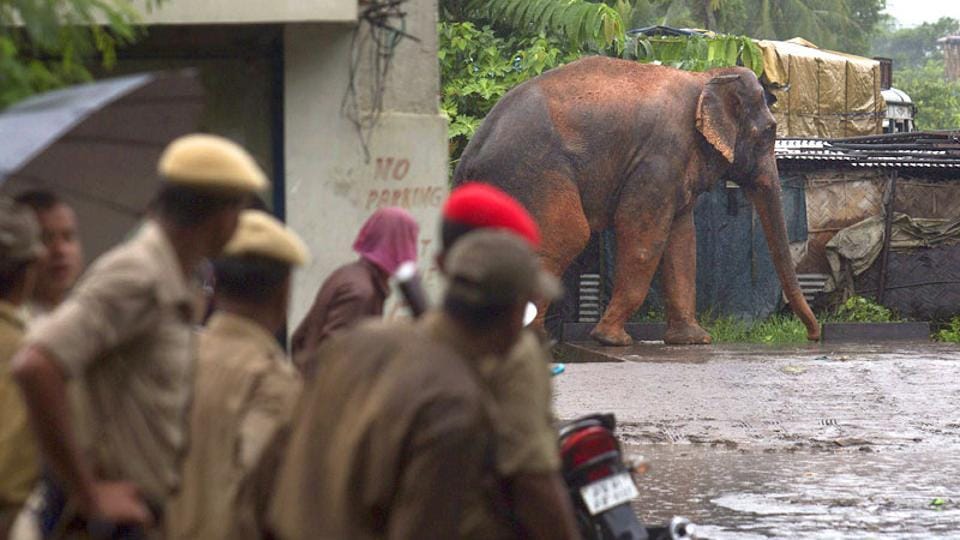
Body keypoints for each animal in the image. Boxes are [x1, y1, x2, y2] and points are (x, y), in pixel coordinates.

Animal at [450, 56, 816, 346]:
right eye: (769, 133)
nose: (813, 335)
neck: (705, 78)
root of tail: (471, 152)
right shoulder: (659, 157)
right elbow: (642, 233)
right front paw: (611, 340)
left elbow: (683, 242)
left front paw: (693, 340)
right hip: (533, 171)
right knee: (568, 235)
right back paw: (535, 340)